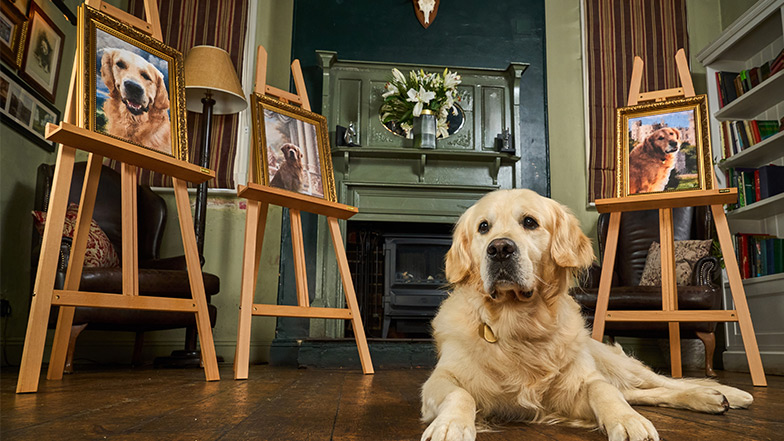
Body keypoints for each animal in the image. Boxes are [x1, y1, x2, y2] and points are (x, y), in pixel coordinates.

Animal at [422, 189, 752, 440]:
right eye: (483, 227)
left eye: (529, 222)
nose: (500, 249)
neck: (518, 322)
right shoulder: (439, 379)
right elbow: (459, 394)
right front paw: (450, 426)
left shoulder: (578, 385)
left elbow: (602, 390)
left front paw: (628, 421)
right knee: (644, 392)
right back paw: (708, 398)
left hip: (617, 364)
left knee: (664, 382)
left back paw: (723, 394)